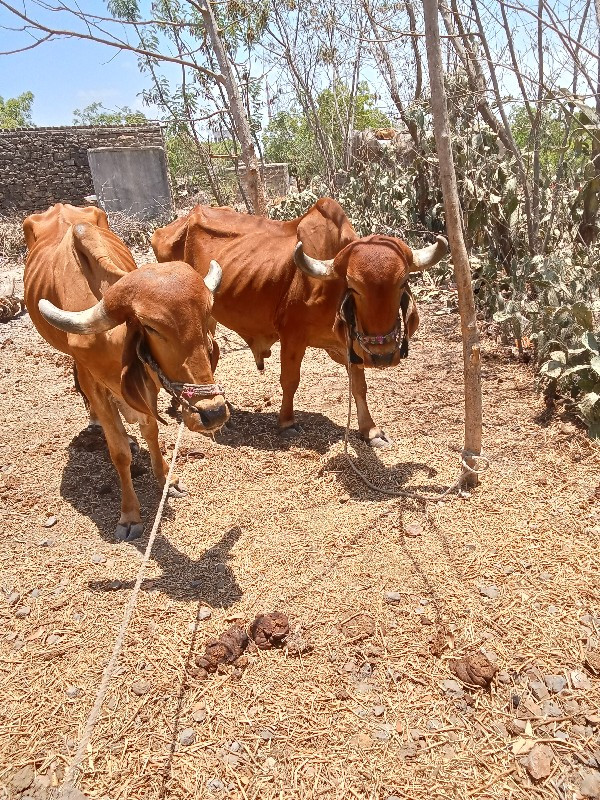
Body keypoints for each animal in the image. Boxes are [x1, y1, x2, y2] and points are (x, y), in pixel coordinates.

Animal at [24, 205, 229, 544]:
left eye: (206, 316)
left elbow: (151, 430)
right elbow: (118, 451)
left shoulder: (147, 381)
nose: (213, 413)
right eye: (151, 327)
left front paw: (166, 480)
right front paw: (130, 515)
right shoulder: (96, 384)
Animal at [152, 197, 448, 446]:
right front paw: (286, 423)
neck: (330, 289)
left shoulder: (351, 344)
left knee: (209, 351)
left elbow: (359, 386)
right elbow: (290, 380)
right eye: (354, 287)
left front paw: (371, 430)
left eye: (403, 282)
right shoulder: (292, 336)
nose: (383, 356)